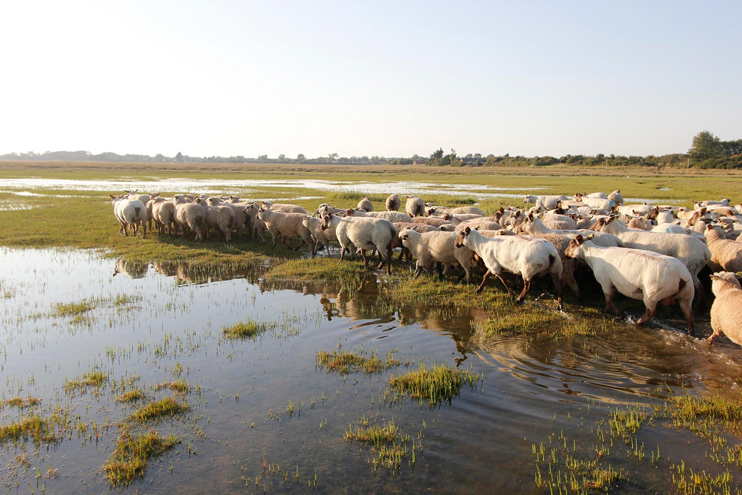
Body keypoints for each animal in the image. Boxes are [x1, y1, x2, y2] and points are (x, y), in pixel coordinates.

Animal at [568, 233, 696, 334]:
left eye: (572, 243)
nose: (565, 253)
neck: (594, 255)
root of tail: (681, 276)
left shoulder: (605, 281)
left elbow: (608, 298)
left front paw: (614, 312)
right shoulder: (613, 283)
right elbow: (611, 298)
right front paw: (614, 312)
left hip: (652, 294)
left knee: (650, 313)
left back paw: (637, 323)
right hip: (687, 295)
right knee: (689, 314)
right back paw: (690, 332)